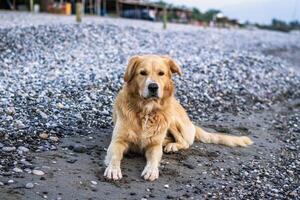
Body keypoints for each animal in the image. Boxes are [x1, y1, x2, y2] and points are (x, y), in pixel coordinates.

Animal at [103, 54, 253, 181]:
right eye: (142, 73)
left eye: (161, 73)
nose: (153, 87)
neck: (146, 110)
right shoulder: (118, 141)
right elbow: (115, 156)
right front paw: (113, 169)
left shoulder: (154, 145)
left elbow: (153, 159)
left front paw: (151, 170)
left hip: (172, 121)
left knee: (184, 142)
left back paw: (172, 145)